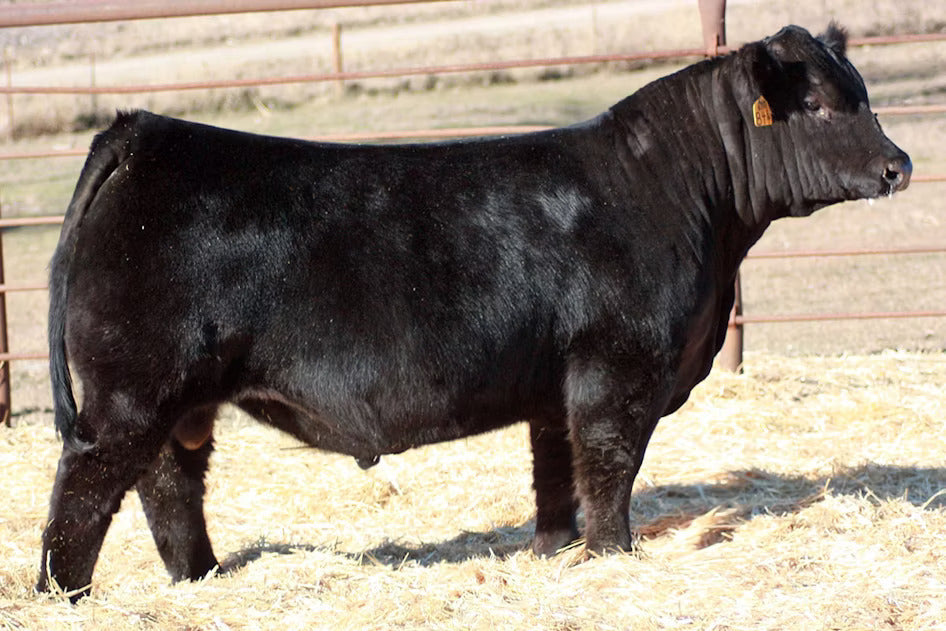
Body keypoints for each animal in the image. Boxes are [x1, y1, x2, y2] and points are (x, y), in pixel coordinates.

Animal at [39, 23, 910, 600]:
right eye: (821, 105)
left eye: (863, 95)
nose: (899, 165)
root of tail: (143, 131)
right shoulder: (617, 368)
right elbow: (610, 467)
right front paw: (614, 555)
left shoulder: (557, 383)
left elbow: (556, 473)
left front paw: (556, 552)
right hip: (129, 391)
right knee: (84, 490)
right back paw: (64, 595)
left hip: (174, 401)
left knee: (168, 485)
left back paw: (201, 578)